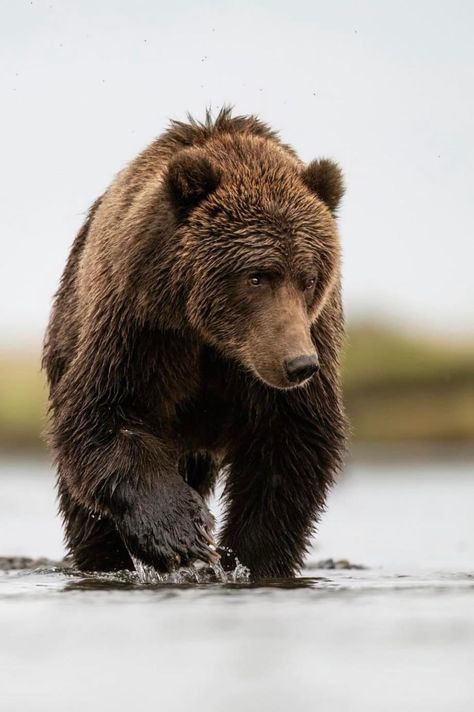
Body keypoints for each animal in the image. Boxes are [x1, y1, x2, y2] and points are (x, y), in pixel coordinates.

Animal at [42, 110, 346, 580]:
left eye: (309, 278)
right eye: (257, 275)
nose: (299, 364)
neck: (215, 338)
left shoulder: (293, 353)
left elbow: (290, 448)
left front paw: (246, 559)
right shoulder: (142, 325)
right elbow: (104, 415)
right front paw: (181, 534)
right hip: (69, 328)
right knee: (85, 509)